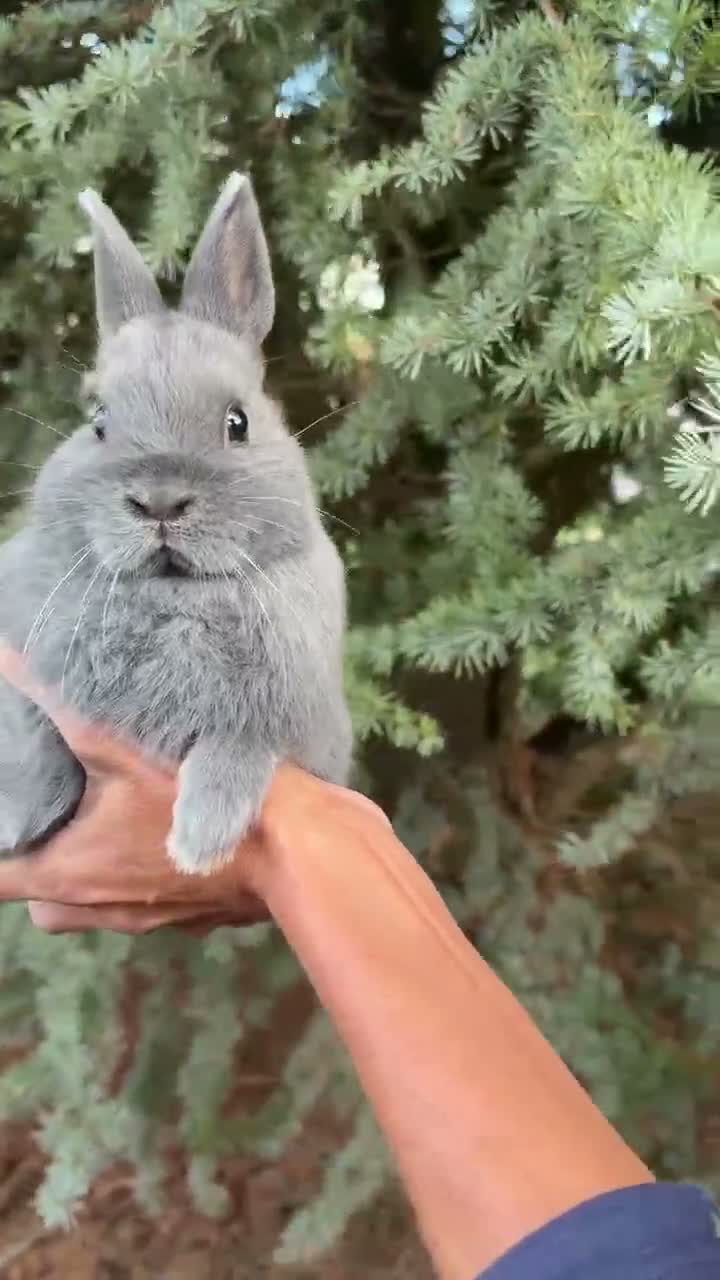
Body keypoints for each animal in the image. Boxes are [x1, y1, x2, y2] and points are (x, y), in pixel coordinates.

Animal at [0, 172, 352, 873]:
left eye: (237, 422)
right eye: (99, 421)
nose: (159, 501)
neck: (173, 597)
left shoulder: (286, 722)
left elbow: (236, 751)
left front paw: (198, 843)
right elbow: (36, 740)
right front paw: (19, 820)